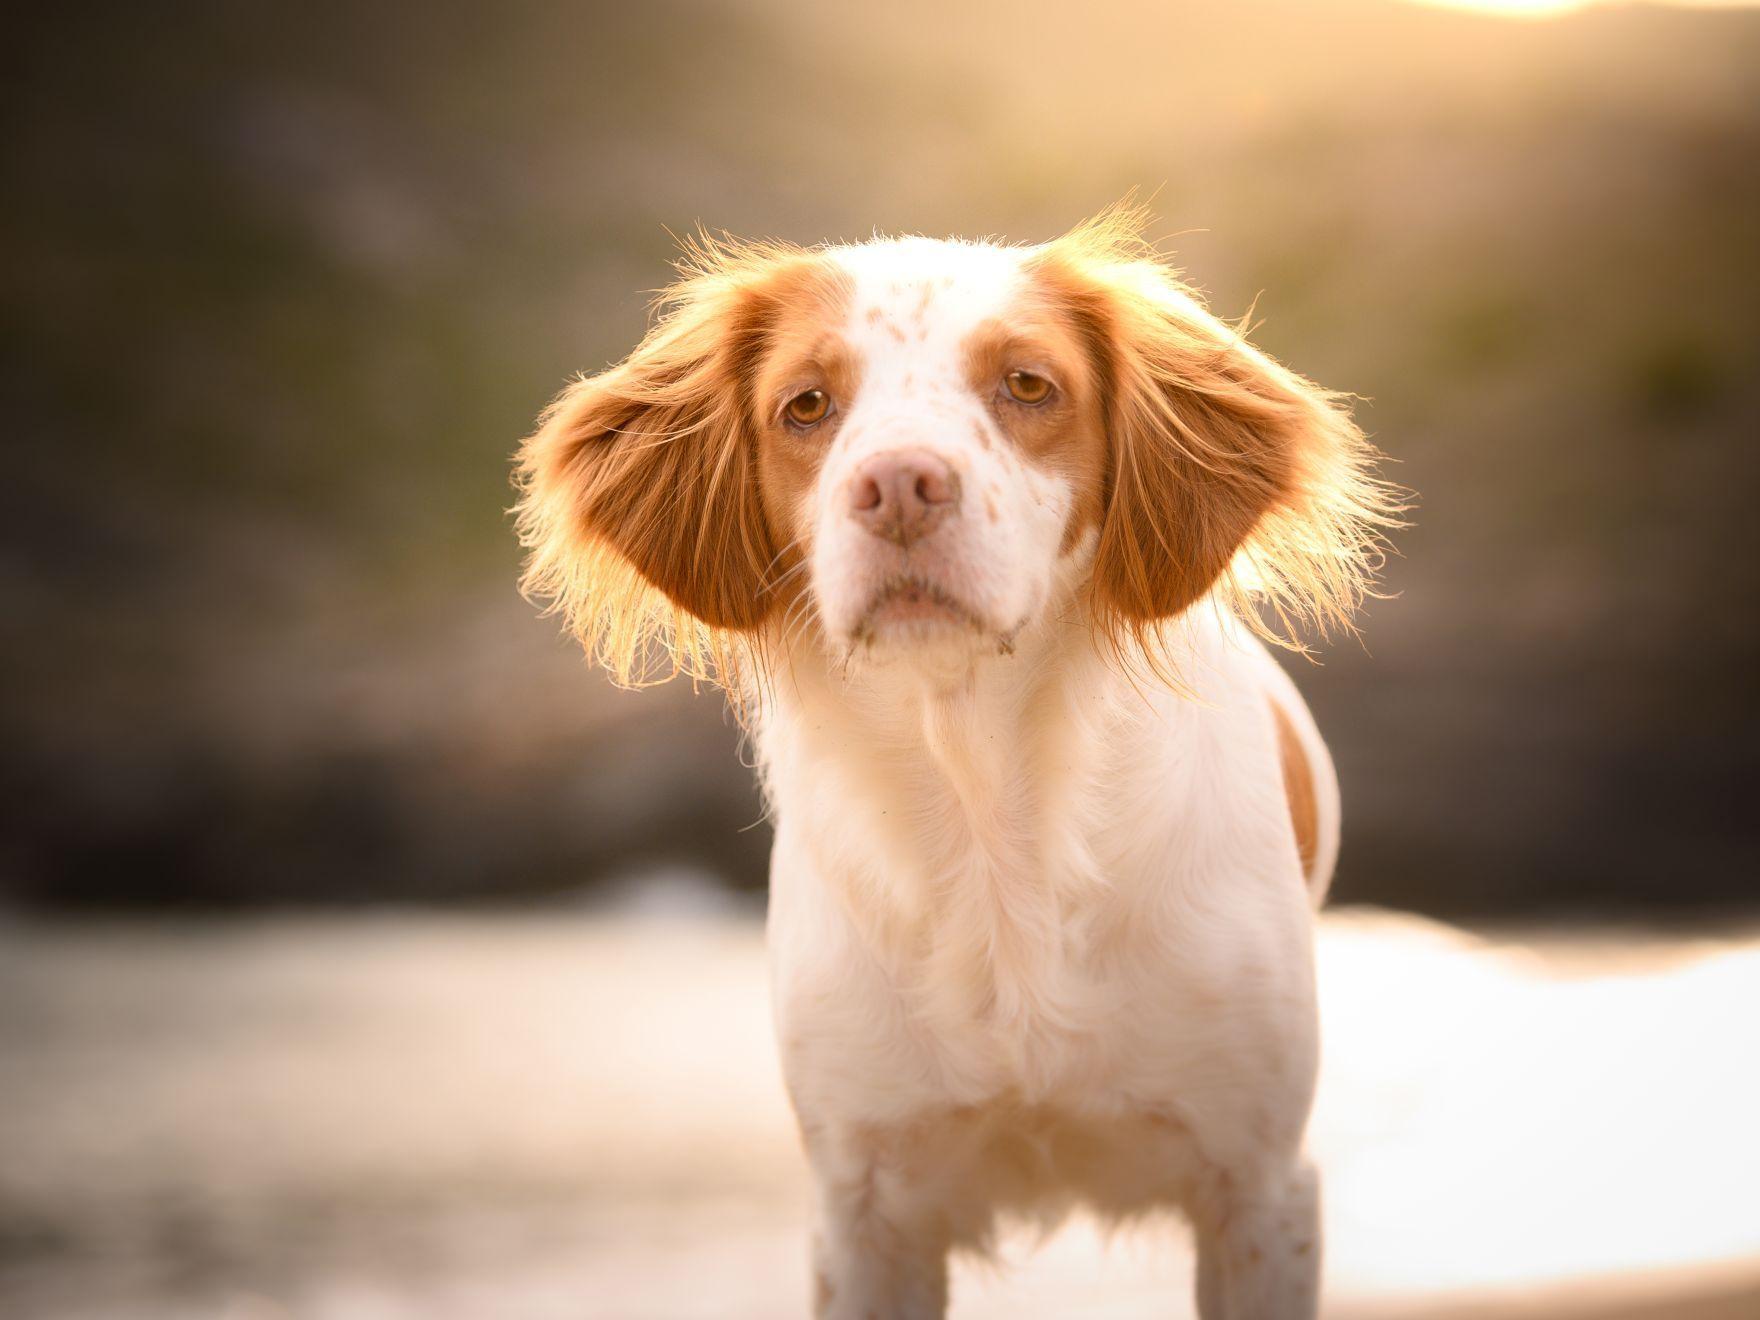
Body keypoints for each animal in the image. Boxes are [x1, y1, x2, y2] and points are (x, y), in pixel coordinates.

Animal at [513, 212, 1400, 1316]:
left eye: (1027, 384)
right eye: (807, 404)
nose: (899, 486)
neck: (986, 805)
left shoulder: (1260, 1179)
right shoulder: (864, 1205)